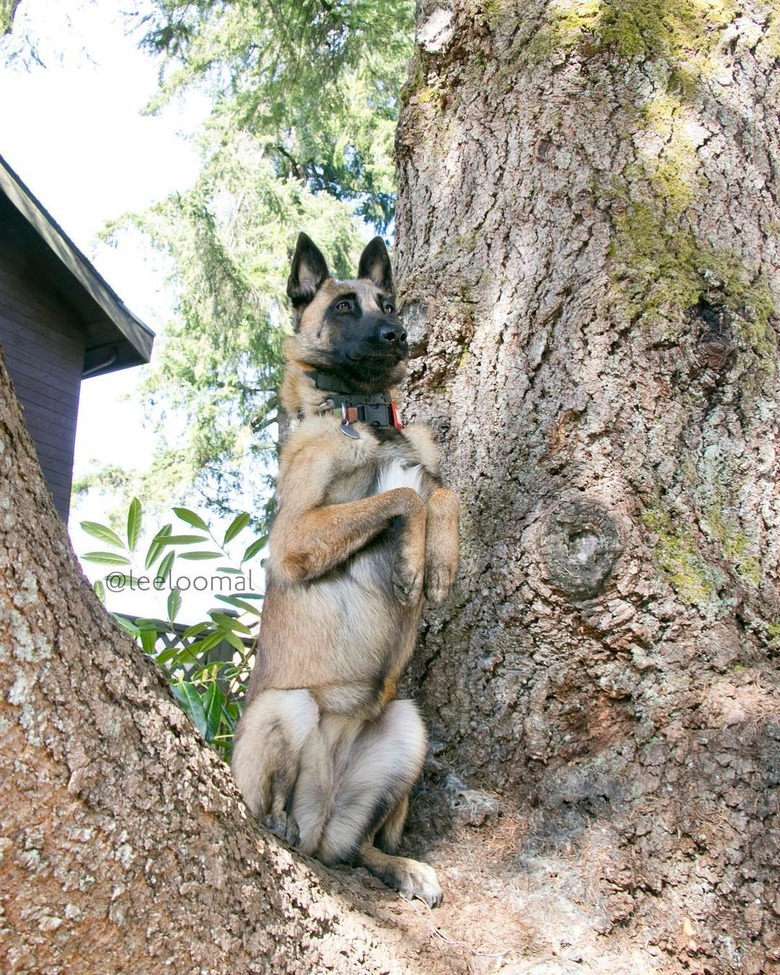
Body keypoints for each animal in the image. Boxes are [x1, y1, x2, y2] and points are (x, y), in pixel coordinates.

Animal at [230, 233, 458, 904]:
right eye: (344, 307)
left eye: (388, 302)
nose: (397, 334)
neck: (369, 419)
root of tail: (321, 815)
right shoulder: (295, 537)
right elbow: (403, 497)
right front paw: (412, 562)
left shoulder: (430, 477)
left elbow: (441, 493)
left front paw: (441, 562)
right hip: (287, 708)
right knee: (276, 813)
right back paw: (280, 826)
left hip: (408, 727)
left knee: (360, 850)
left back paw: (403, 867)